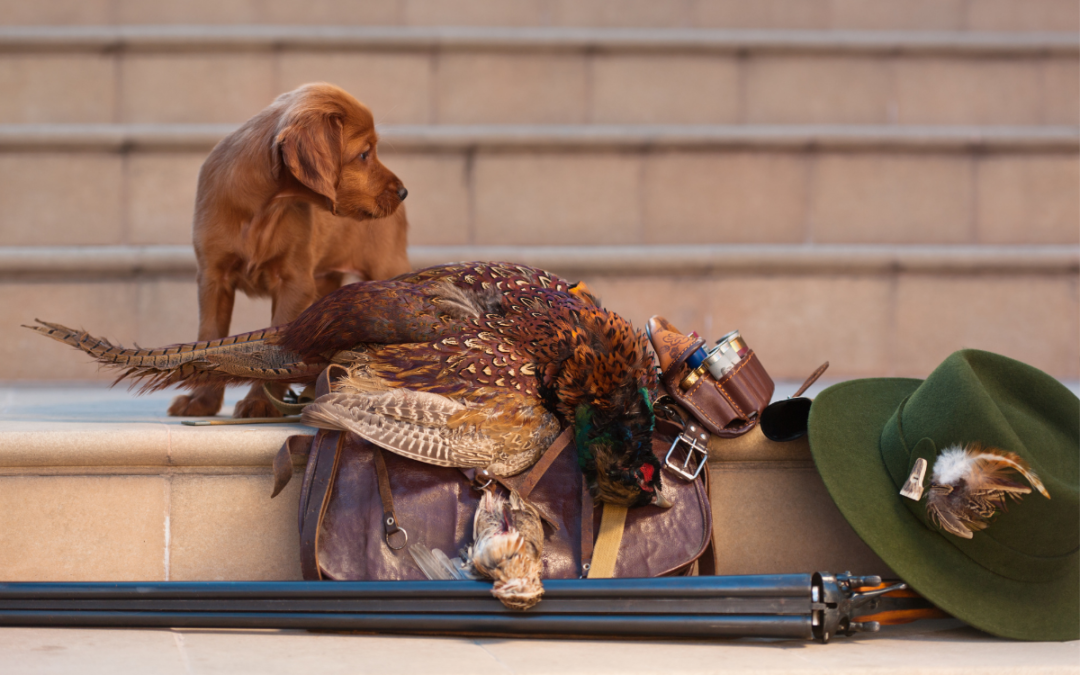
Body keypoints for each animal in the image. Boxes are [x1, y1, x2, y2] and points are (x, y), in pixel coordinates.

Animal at [170, 80, 410, 416]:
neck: (262, 209)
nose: (403, 192)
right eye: (364, 154)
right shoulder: (213, 279)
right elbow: (210, 335)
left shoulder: (295, 283)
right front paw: (201, 401)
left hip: (387, 271)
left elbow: (278, 350)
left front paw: (259, 403)